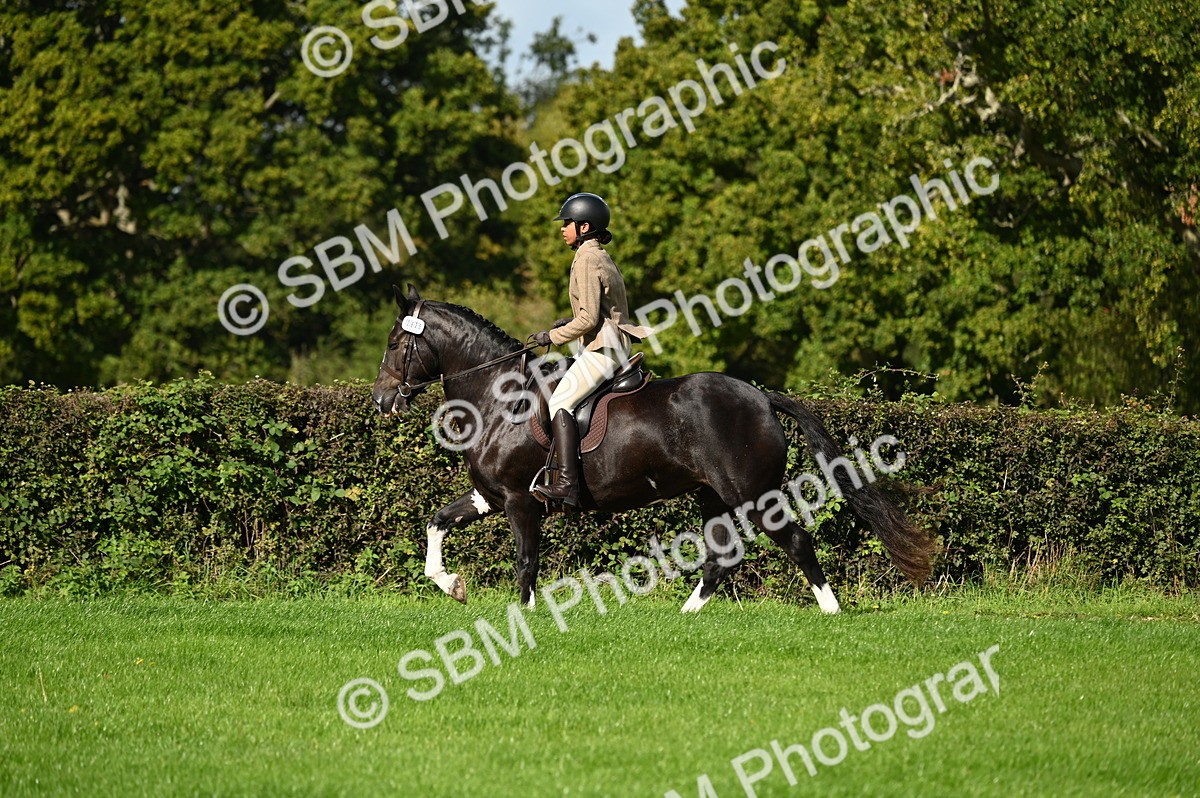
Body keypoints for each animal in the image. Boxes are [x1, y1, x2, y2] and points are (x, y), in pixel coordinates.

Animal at [371, 285, 935, 613]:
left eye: (396, 344)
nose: (380, 400)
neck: (498, 396)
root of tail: (760, 395)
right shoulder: (492, 495)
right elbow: (437, 522)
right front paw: (451, 584)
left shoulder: (519, 502)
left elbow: (526, 564)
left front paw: (521, 621)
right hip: (712, 495)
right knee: (722, 556)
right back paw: (686, 617)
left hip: (753, 494)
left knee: (796, 541)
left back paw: (831, 611)